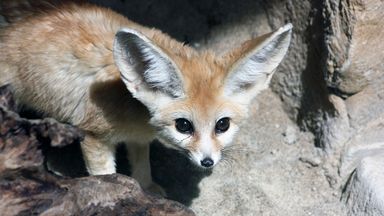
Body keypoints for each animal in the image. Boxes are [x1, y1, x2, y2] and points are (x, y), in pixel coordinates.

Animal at [0, 2, 292, 192]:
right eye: (183, 125)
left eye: (223, 125)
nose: (207, 162)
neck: (133, 105)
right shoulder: (93, 136)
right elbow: (105, 176)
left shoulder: (138, 138)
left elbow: (142, 166)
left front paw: (147, 189)